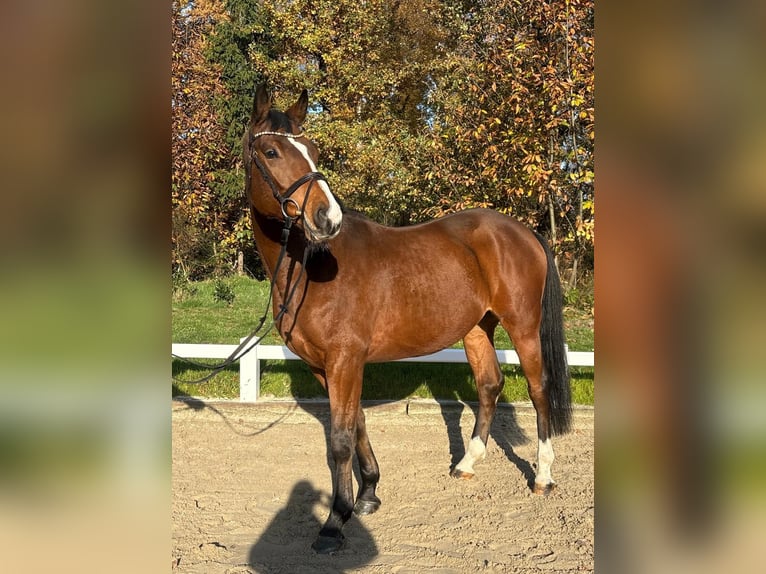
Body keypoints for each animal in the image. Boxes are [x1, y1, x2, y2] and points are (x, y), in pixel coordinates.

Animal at [242, 84, 572, 554]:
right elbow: (356, 424)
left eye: (313, 150)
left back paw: (542, 476)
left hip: (523, 327)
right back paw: (466, 463)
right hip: (477, 328)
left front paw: (334, 522)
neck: (310, 264)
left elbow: (339, 440)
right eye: (270, 151)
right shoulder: (329, 366)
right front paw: (367, 495)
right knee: (490, 385)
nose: (327, 218)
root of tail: (522, 231)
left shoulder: (344, 360)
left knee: (538, 390)